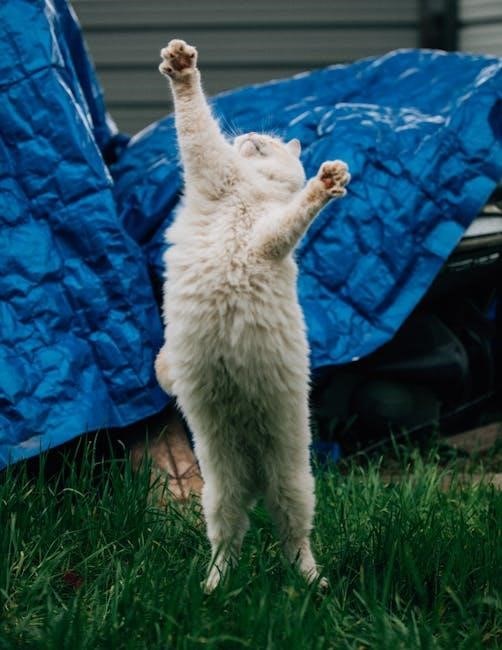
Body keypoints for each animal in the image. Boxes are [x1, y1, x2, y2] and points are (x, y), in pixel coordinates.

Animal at [155, 39, 350, 593]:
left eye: (268, 145)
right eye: (254, 142)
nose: (249, 139)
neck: (247, 190)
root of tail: (256, 481)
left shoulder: (269, 237)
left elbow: (297, 209)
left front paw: (326, 183)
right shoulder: (214, 177)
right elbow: (194, 121)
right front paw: (179, 67)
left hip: (293, 484)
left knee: (294, 539)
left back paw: (312, 586)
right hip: (220, 492)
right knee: (231, 539)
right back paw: (214, 587)